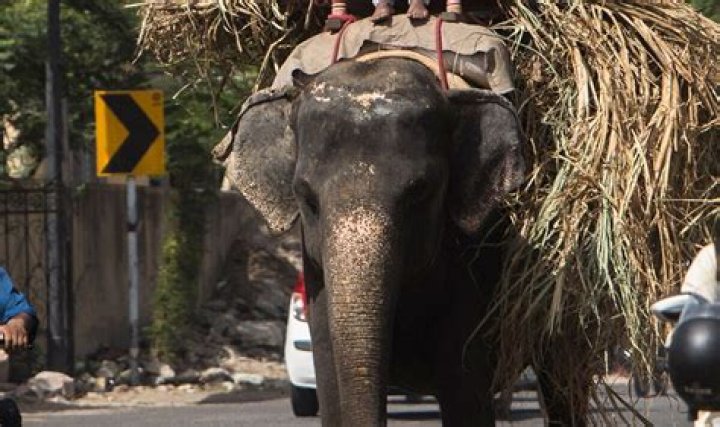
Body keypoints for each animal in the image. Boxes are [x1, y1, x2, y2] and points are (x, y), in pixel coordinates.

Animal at [217, 57, 578, 426]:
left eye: (419, 192)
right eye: (306, 198)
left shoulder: (472, 262)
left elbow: (465, 397)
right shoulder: (315, 280)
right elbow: (330, 390)